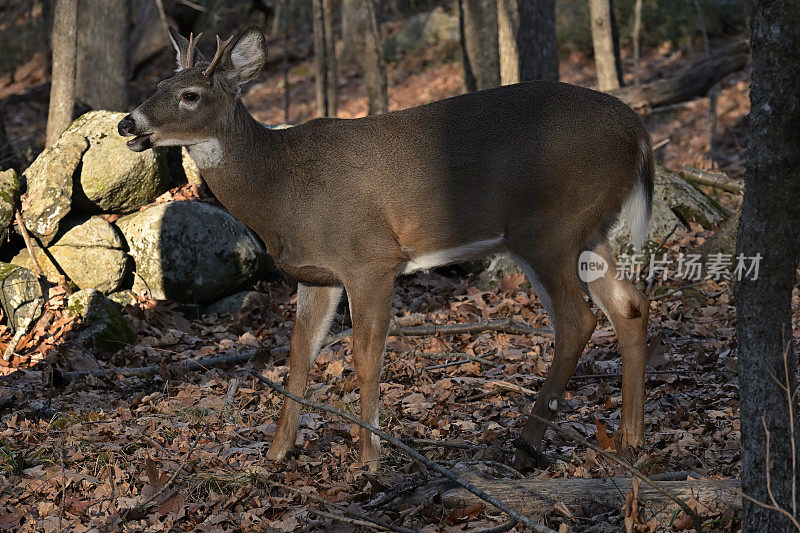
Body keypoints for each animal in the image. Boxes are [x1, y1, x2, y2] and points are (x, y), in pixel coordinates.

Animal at [120, 27, 656, 468]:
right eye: (159, 85)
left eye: (190, 95)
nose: (128, 123)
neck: (280, 188)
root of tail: (638, 131)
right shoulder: (318, 274)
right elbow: (299, 353)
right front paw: (277, 452)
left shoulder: (370, 257)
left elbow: (365, 353)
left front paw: (369, 459)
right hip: (589, 232)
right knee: (630, 306)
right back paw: (629, 441)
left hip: (549, 229)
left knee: (578, 320)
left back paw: (528, 442)